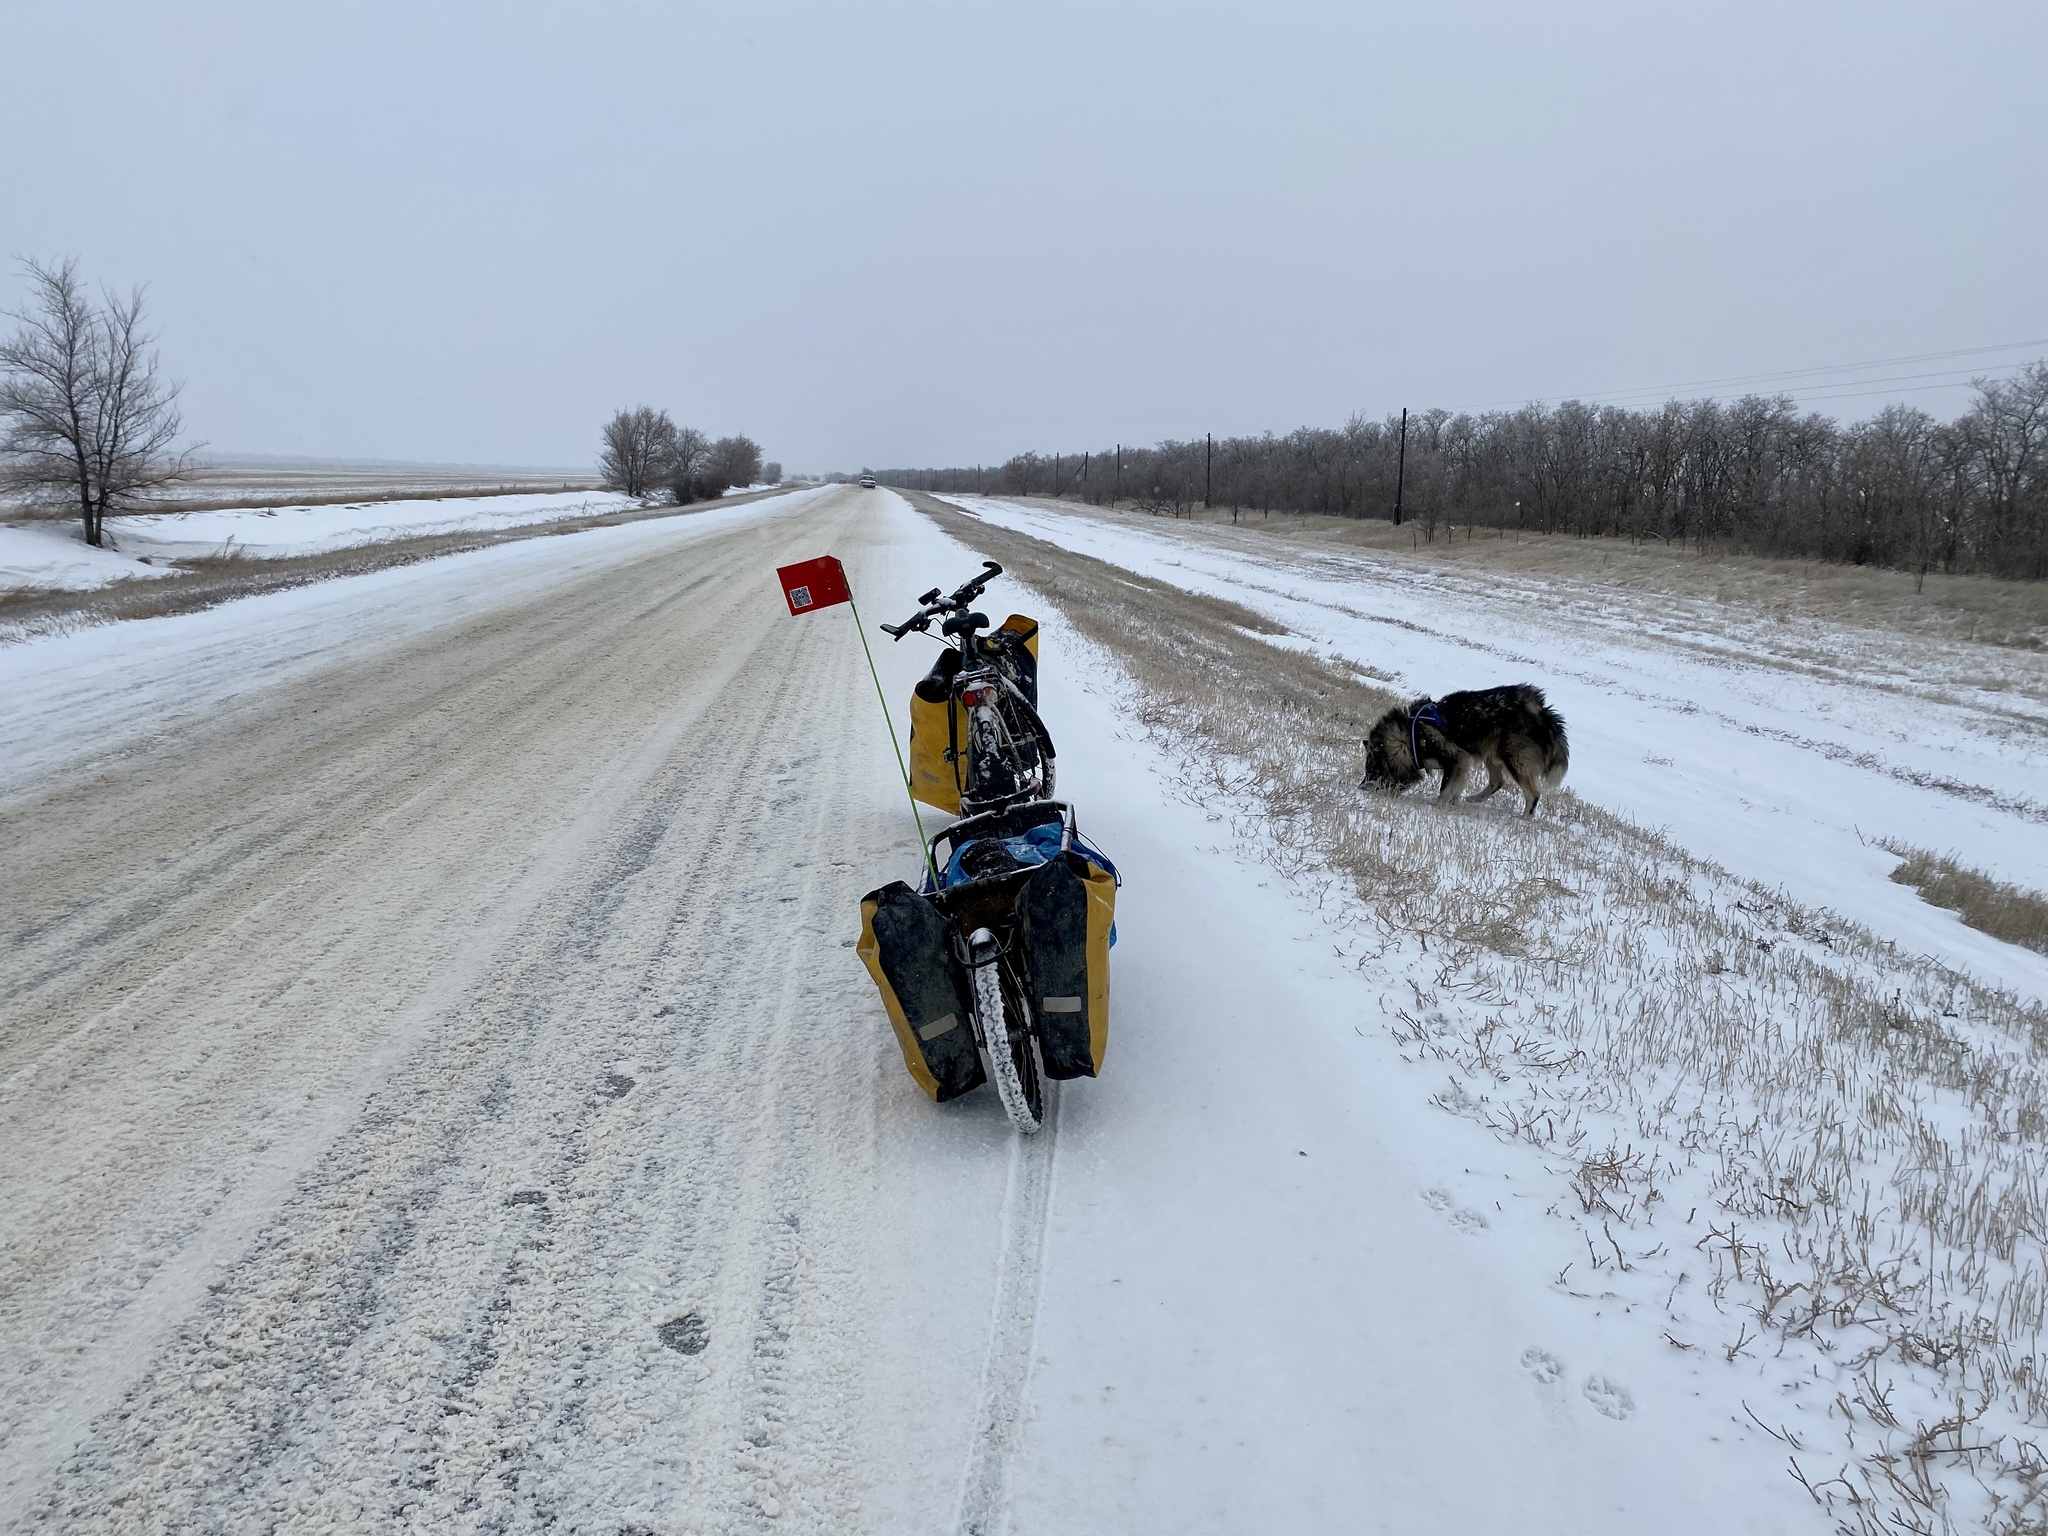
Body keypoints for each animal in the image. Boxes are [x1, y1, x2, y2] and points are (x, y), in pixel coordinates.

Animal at [1359, 684, 1564, 819]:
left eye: (1372, 771)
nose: (1360, 788)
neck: (1411, 737)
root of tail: (1541, 711)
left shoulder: (1457, 758)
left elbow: (1445, 789)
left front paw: (1438, 807)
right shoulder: (1460, 765)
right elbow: (1455, 788)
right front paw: (1454, 804)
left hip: (1514, 759)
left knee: (1533, 793)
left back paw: (1524, 818)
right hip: (1490, 752)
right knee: (1497, 781)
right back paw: (1474, 799)